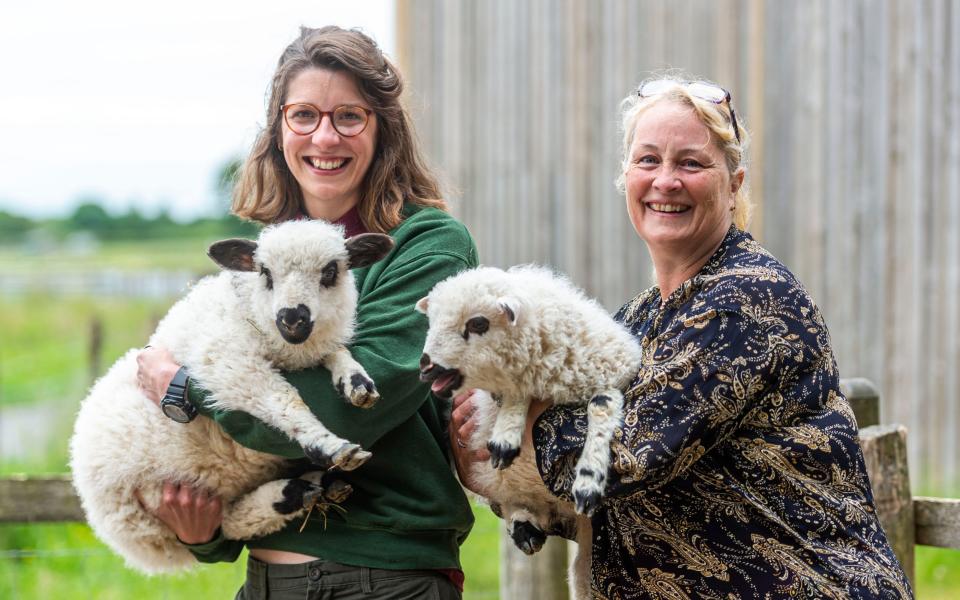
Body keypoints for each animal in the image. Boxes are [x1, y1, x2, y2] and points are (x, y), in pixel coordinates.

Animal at [68, 220, 394, 572]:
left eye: (331, 271)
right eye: (264, 272)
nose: (292, 318)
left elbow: (337, 351)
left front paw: (357, 382)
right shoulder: (228, 362)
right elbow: (283, 398)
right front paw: (331, 446)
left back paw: (314, 488)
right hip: (151, 493)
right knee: (229, 523)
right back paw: (295, 493)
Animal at [416, 264, 640, 596]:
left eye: (478, 323)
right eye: (431, 321)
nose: (426, 366)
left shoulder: (611, 378)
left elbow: (600, 407)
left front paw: (589, 480)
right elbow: (513, 396)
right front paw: (506, 434)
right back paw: (524, 526)